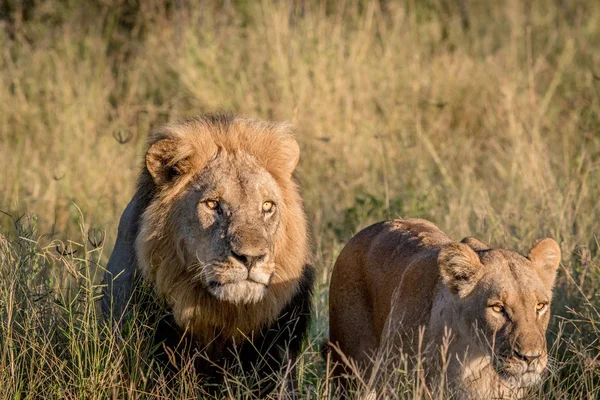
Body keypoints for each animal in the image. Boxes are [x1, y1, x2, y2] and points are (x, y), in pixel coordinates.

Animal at [326, 220, 560, 398]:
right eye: (497, 308)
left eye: (540, 306)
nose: (531, 358)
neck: (468, 356)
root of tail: (369, 228)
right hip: (353, 370)